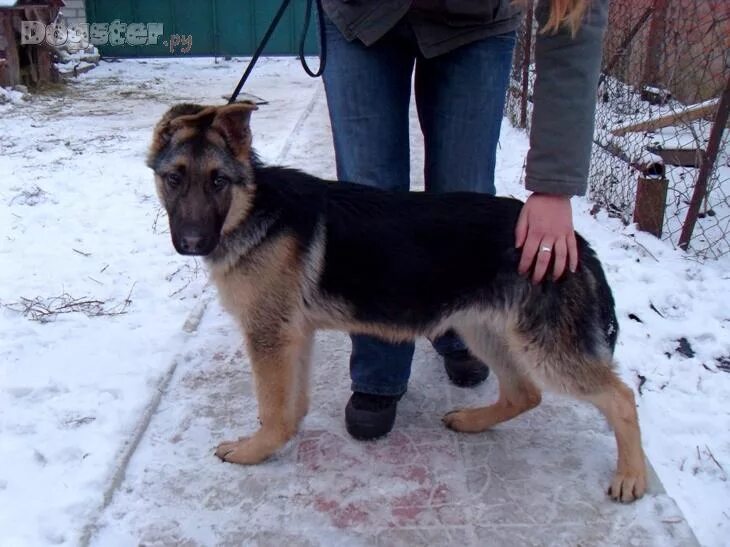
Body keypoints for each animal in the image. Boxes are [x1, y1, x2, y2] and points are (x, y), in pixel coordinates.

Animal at [146, 103, 644, 506]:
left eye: (218, 181)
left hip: (543, 348)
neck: (251, 208)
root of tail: (573, 241)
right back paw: (473, 421)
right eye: (174, 179)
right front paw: (282, 436)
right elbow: (291, 403)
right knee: (525, 393)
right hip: (483, 330)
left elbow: (271, 407)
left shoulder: (268, 337)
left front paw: (255, 450)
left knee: (620, 397)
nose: (191, 243)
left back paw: (631, 476)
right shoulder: (293, 336)